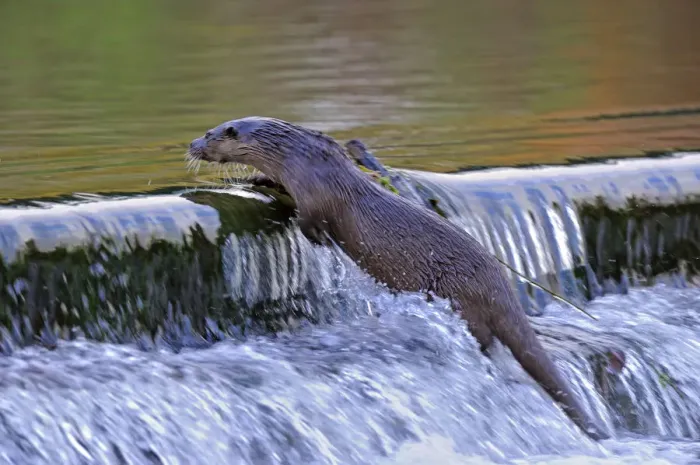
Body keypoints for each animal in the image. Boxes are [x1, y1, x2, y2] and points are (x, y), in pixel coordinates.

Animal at [187, 116, 609, 440]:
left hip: (460, 295)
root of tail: (499, 284)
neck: (299, 158)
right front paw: (256, 183)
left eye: (209, 133)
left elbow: (310, 222)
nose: (191, 143)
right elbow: (272, 185)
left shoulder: (314, 194)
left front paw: (306, 230)